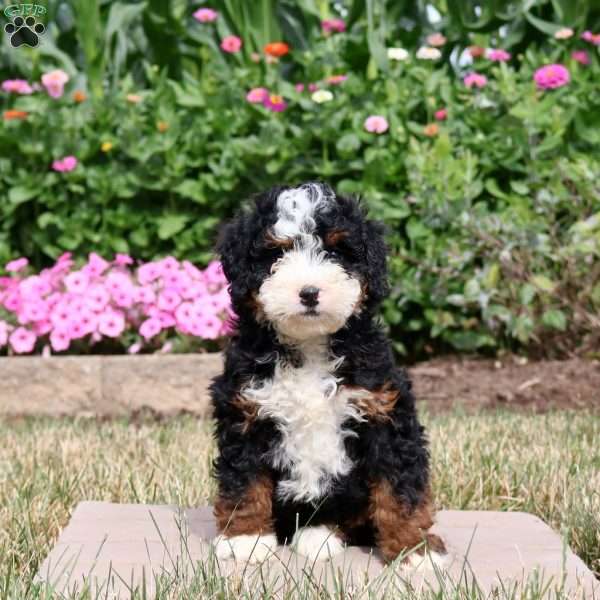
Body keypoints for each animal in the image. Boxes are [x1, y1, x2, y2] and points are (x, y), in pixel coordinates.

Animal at [211, 183, 446, 568]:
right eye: (277, 253)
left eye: (336, 251)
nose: (309, 292)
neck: (310, 346)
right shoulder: (245, 413)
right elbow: (244, 480)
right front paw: (245, 538)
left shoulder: (385, 415)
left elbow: (400, 490)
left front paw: (414, 549)